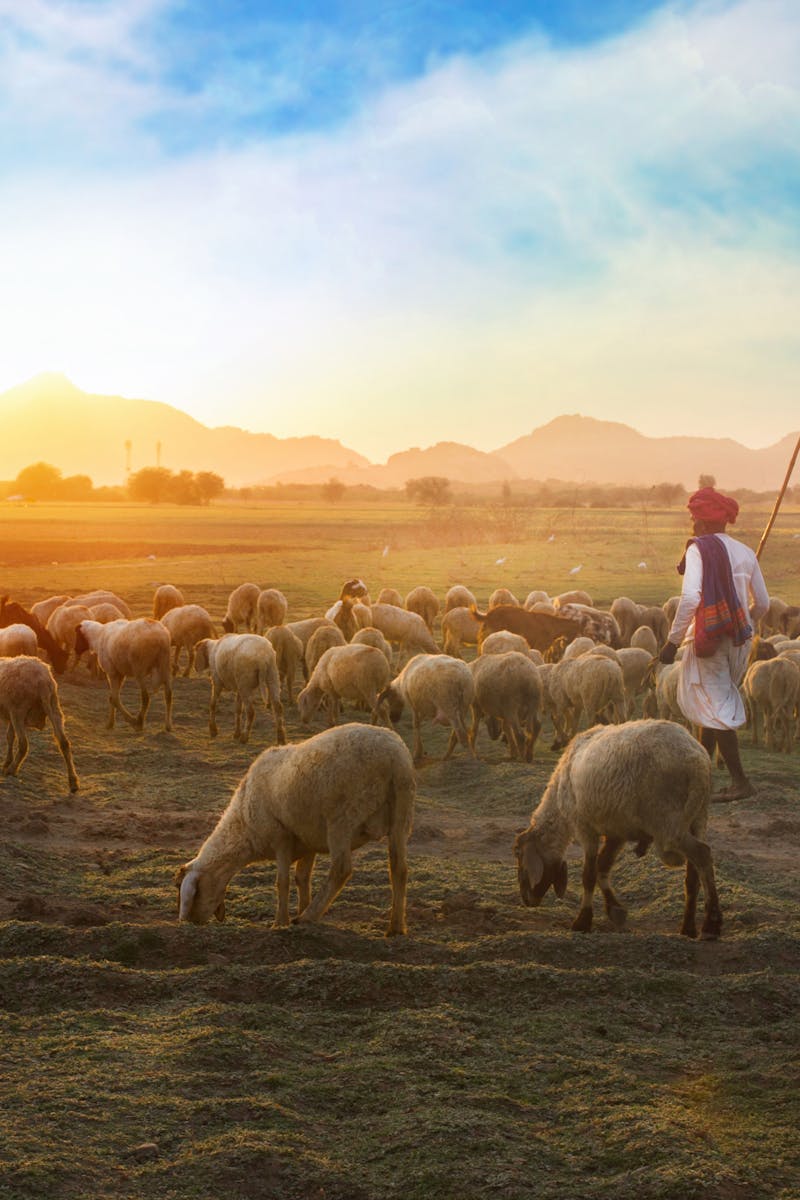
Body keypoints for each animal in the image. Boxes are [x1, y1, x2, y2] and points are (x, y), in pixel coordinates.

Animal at [0, 652, 79, 792]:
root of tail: (42, 679)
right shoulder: (9, 712)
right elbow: (10, 737)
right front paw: (6, 762)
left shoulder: (13, 711)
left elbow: (11, 737)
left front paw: (7, 764)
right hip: (54, 706)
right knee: (64, 742)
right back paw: (73, 782)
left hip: (19, 710)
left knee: (23, 744)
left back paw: (11, 770)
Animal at [177, 720, 417, 936]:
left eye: (193, 893)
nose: (193, 922)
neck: (243, 825)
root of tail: (394, 757)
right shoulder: (307, 840)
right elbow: (302, 879)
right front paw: (302, 908)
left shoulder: (281, 836)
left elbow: (282, 882)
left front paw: (281, 922)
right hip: (401, 815)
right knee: (399, 868)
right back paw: (396, 927)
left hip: (341, 817)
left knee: (341, 869)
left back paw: (308, 917)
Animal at [515, 715, 724, 940]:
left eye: (518, 854)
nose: (527, 900)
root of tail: (697, 761)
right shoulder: (617, 832)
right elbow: (602, 866)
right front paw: (615, 910)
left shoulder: (585, 828)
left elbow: (589, 874)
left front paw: (582, 921)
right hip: (698, 818)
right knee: (693, 875)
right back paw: (688, 928)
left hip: (669, 823)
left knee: (702, 854)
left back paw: (711, 926)